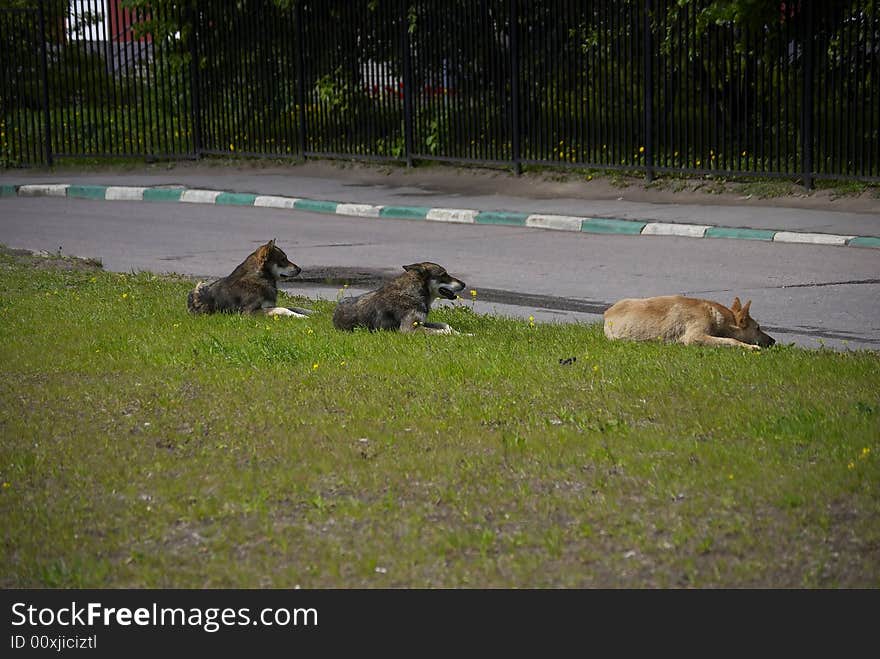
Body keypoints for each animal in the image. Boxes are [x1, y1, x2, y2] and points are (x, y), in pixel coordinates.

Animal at [604, 296, 776, 350]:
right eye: (758, 328)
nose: (774, 341)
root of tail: (606, 314)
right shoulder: (694, 337)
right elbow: (732, 340)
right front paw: (751, 347)